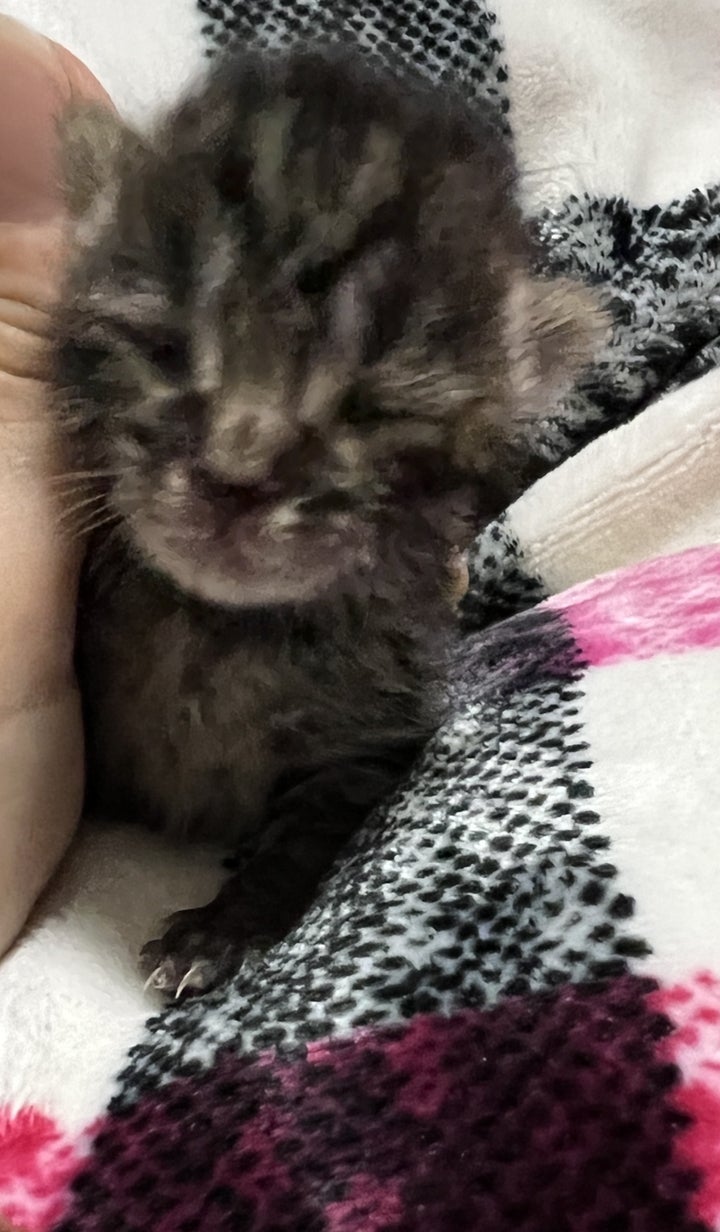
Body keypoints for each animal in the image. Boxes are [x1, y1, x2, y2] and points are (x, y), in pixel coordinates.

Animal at [51, 45, 603, 996]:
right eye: (164, 349)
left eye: (371, 409)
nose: (235, 476)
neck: (218, 632)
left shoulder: (374, 729)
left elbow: (312, 821)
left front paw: (221, 929)